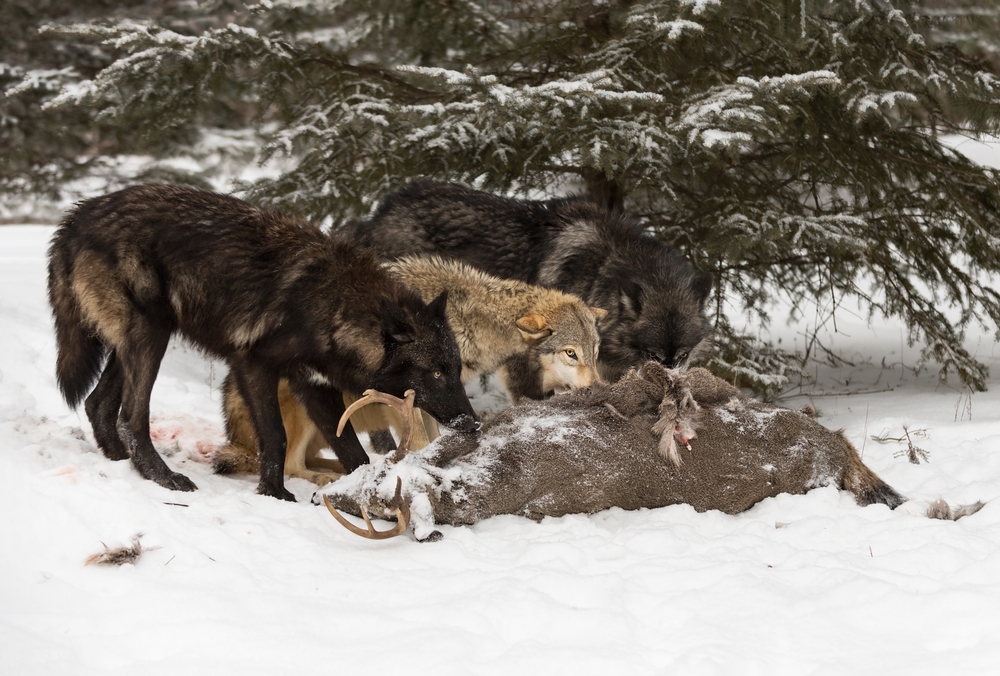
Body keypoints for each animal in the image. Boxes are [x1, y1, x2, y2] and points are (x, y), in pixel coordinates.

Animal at [47, 184, 478, 500]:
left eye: (457, 369)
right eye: (436, 373)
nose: (473, 425)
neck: (332, 306)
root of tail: (74, 217)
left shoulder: (315, 386)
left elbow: (351, 451)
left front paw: (362, 494)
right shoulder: (253, 365)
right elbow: (275, 437)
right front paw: (275, 493)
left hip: (139, 339)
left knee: (97, 404)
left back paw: (122, 465)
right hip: (150, 336)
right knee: (131, 418)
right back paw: (165, 479)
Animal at [213, 254, 606, 484]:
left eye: (595, 351)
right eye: (571, 354)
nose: (598, 388)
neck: (467, 319)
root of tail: (234, 433)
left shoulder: (441, 398)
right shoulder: (410, 399)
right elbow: (421, 444)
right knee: (292, 464)